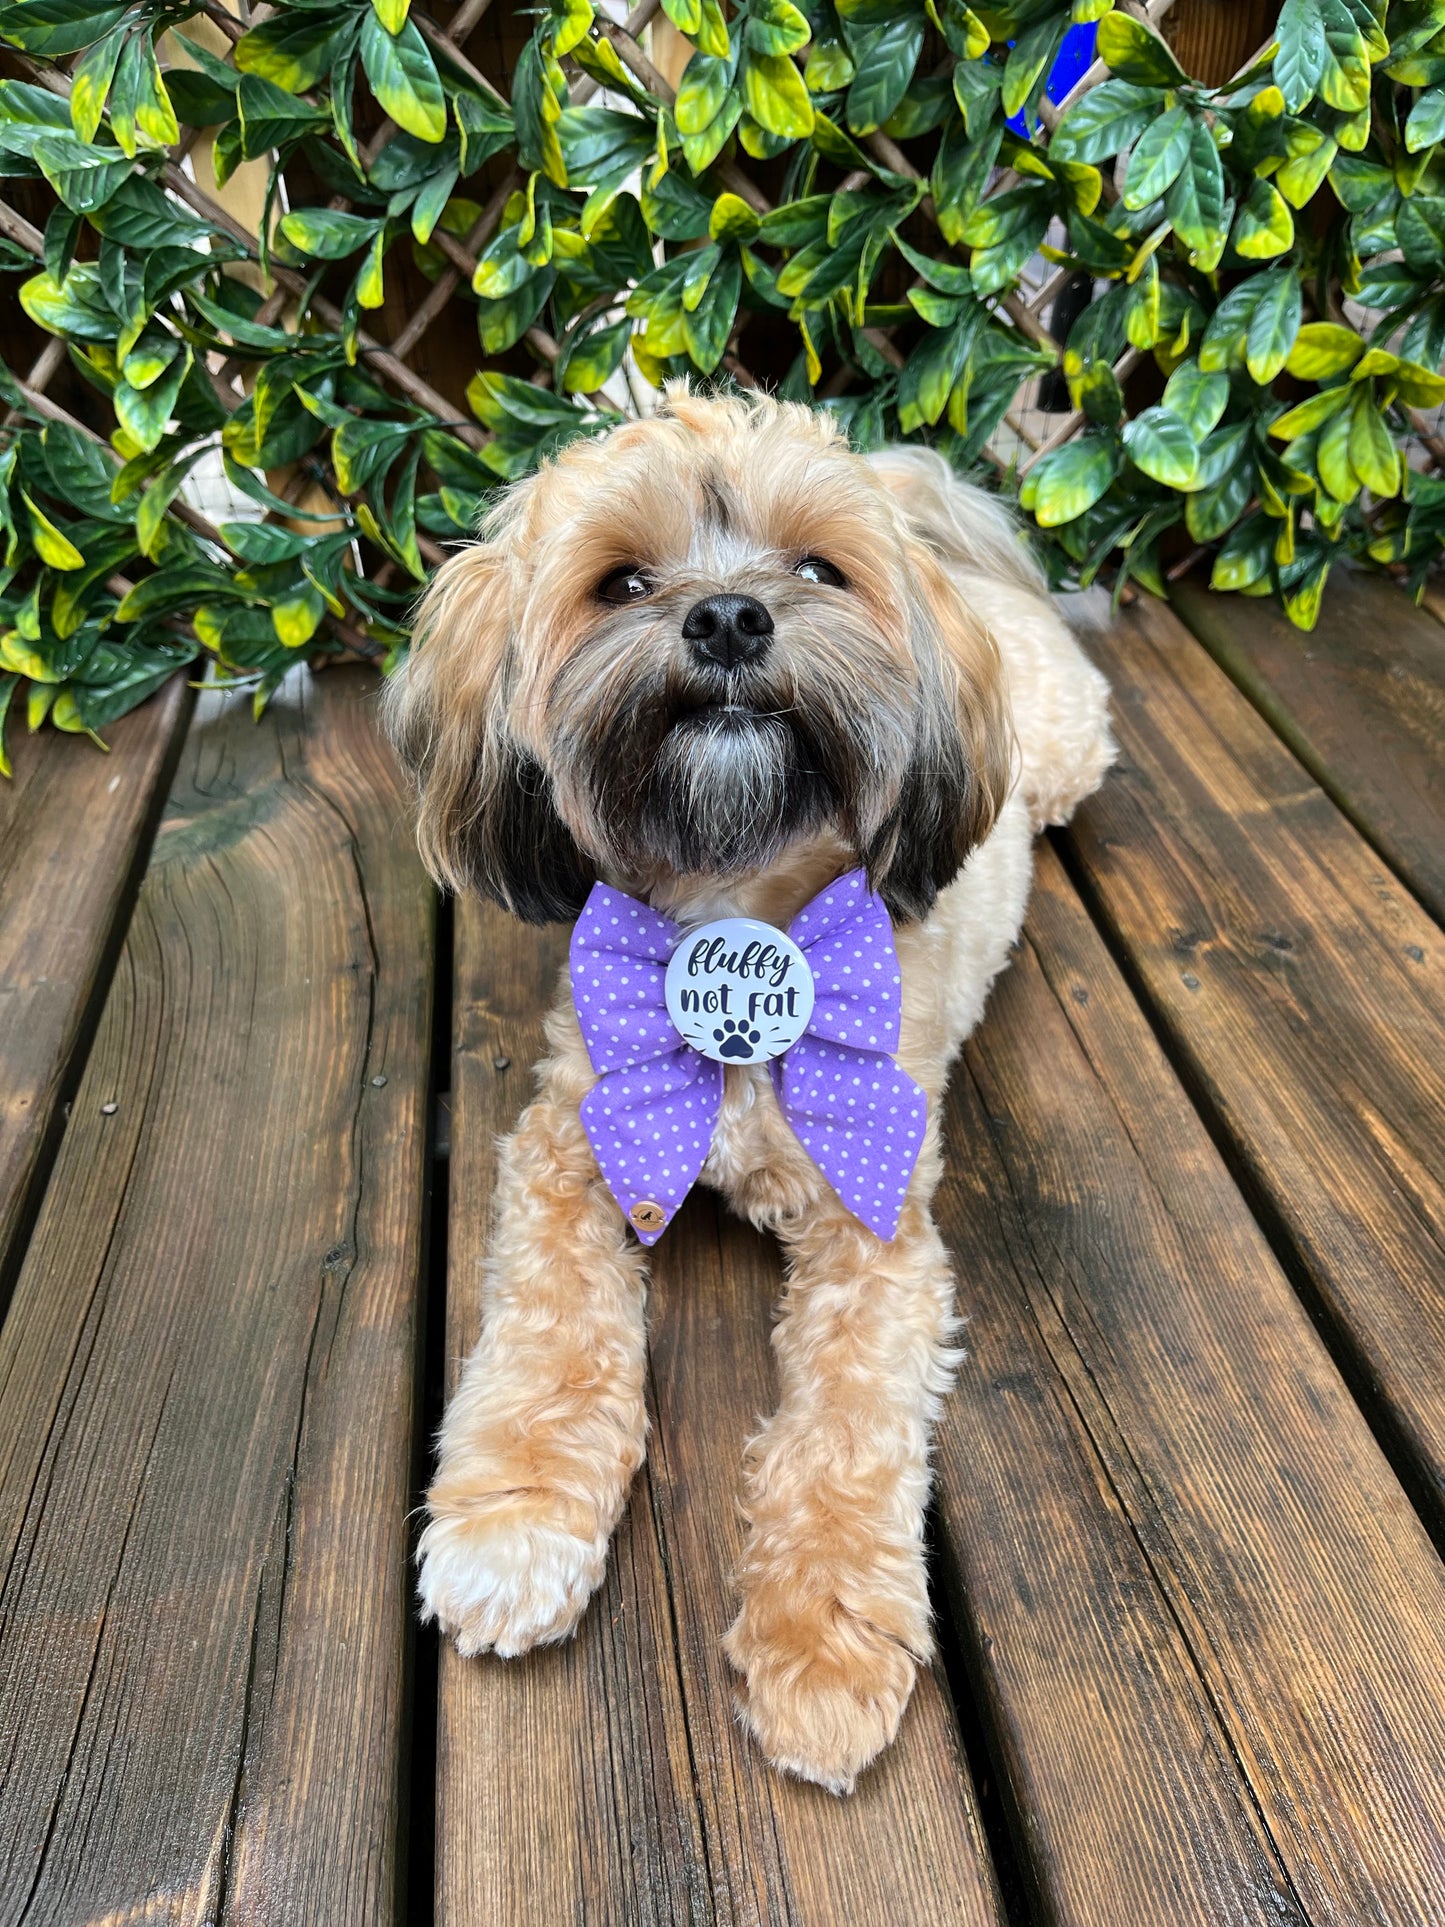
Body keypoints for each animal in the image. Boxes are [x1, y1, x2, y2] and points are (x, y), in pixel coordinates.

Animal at [381, 379, 1109, 1788]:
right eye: (621, 581)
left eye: (818, 568)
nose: (726, 615)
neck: (737, 926)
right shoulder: (564, 1141)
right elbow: (551, 1332)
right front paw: (511, 1524)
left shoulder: (876, 1228)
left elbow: (842, 1432)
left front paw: (820, 1652)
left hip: (1059, 750)